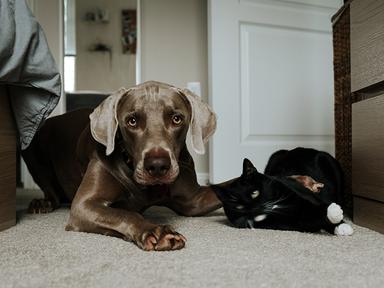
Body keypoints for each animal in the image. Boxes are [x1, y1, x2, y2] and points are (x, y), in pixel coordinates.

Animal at [22, 80, 224, 250]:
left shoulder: (194, 200)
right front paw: (156, 231)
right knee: (51, 191)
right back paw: (42, 203)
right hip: (32, 148)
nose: (157, 166)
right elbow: (126, 214)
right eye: (132, 121)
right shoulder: (84, 205)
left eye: (176, 119)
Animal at [213, 147, 354, 235]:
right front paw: (333, 213)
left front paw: (341, 223)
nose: (254, 209)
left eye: (254, 193)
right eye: (239, 206)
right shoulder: (289, 223)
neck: (275, 206)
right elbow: (311, 218)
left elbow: (318, 203)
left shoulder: (303, 193)